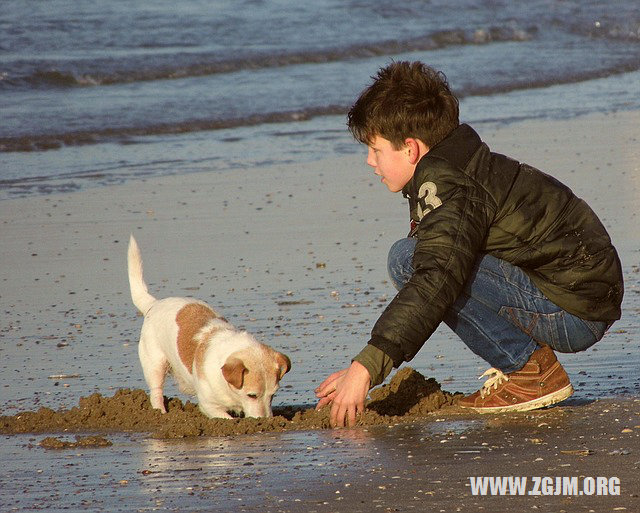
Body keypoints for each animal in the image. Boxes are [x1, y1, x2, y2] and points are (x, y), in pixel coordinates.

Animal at [127, 234, 290, 418]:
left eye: (273, 395)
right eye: (252, 395)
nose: (265, 420)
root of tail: (154, 304)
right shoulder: (209, 406)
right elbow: (227, 419)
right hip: (155, 364)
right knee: (156, 391)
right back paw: (160, 412)